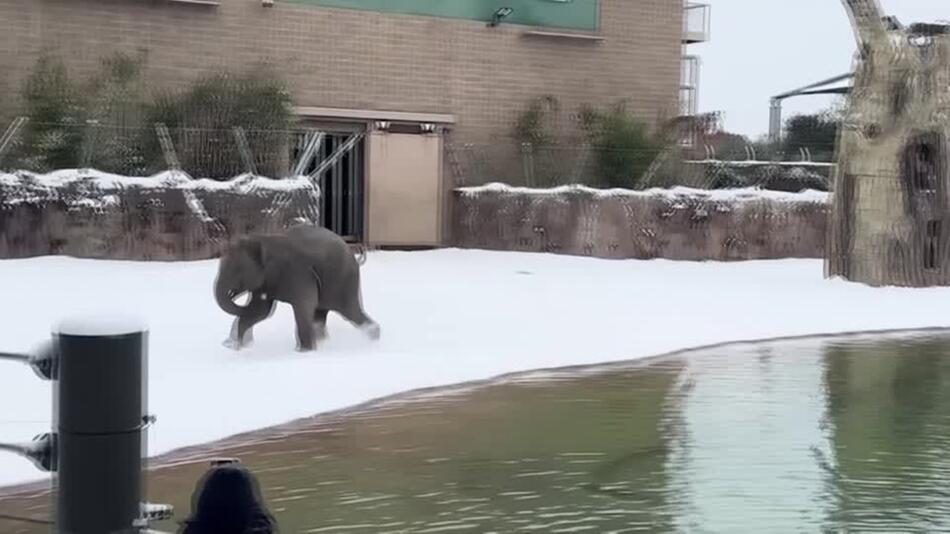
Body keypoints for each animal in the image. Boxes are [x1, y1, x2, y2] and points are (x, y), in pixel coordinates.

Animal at [214, 225, 382, 354]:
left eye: (237, 270)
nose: (233, 292)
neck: (264, 240)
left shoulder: (298, 273)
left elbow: (303, 306)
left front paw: (303, 353)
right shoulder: (266, 281)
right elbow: (260, 311)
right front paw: (237, 348)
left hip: (344, 280)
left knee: (350, 311)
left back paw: (372, 339)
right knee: (321, 315)